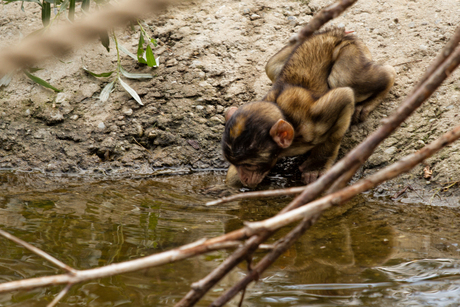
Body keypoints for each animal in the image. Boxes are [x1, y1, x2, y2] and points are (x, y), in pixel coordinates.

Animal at [223, 28, 396, 188]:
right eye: (237, 164)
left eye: (248, 165)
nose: (244, 177)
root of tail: (336, 33)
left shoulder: (311, 124)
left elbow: (344, 97)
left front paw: (315, 166)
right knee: (270, 66)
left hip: (349, 50)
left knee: (346, 78)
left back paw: (384, 82)